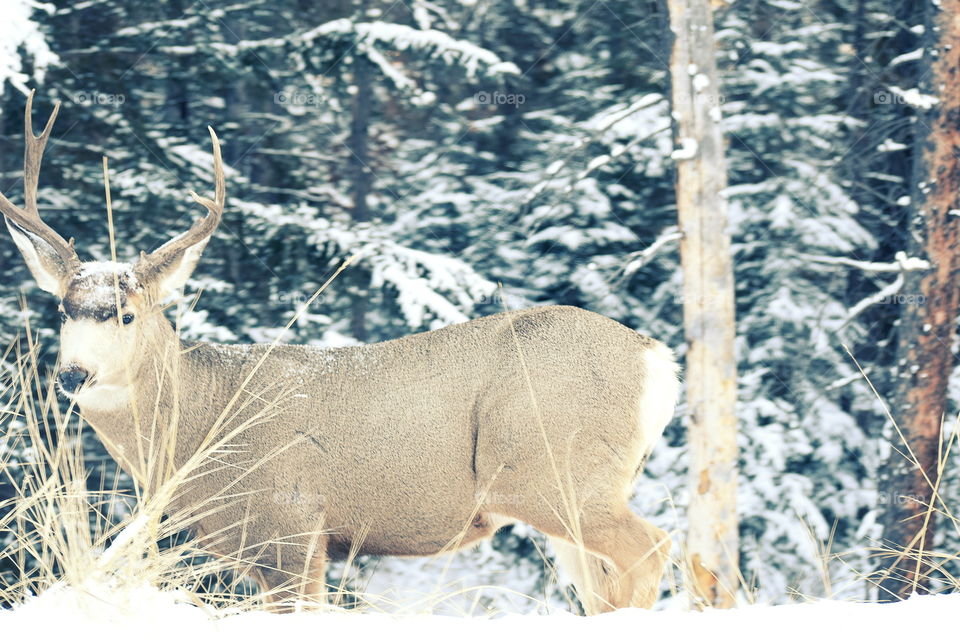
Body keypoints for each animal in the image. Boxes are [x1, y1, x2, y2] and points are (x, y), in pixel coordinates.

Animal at [1, 93, 680, 615]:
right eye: (63, 309)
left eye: (126, 314)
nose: (73, 375)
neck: (202, 424)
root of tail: (658, 358)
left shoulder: (291, 528)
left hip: (554, 470)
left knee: (651, 548)